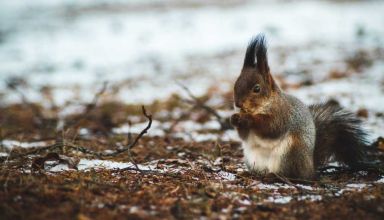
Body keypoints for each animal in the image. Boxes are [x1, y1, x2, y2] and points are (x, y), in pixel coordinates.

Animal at [230, 34, 368, 179]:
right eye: (236, 84)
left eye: (257, 88)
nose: (238, 104)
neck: (260, 108)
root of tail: (310, 167)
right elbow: (244, 136)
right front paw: (234, 118)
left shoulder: (282, 114)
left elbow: (270, 127)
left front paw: (248, 119)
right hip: (252, 159)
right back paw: (250, 173)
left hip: (290, 153)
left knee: (291, 173)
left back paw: (274, 175)